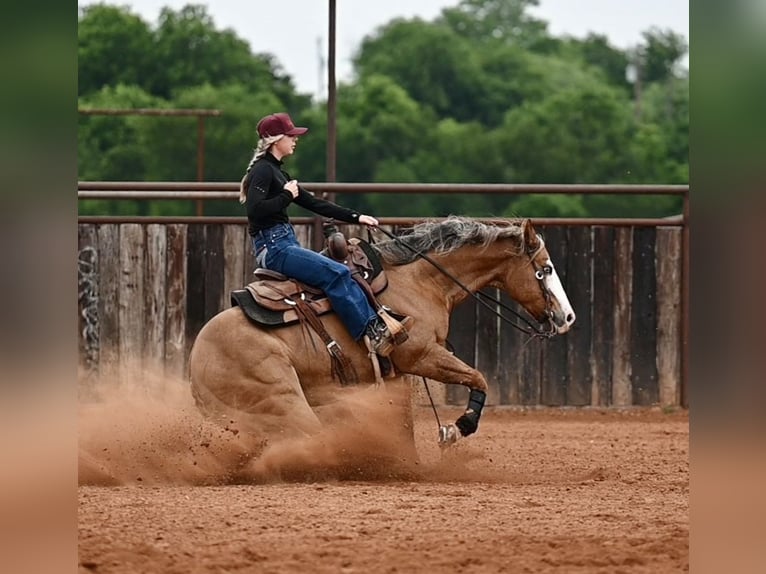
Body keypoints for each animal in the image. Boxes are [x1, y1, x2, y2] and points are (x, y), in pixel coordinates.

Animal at [189, 216, 575, 454]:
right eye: (545, 269)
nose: (567, 317)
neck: (420, 281)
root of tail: (196, 360)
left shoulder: (396, 374)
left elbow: (404, 422)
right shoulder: (422, 355)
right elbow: (478, 378)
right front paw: (457, 427)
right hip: (283, 399)